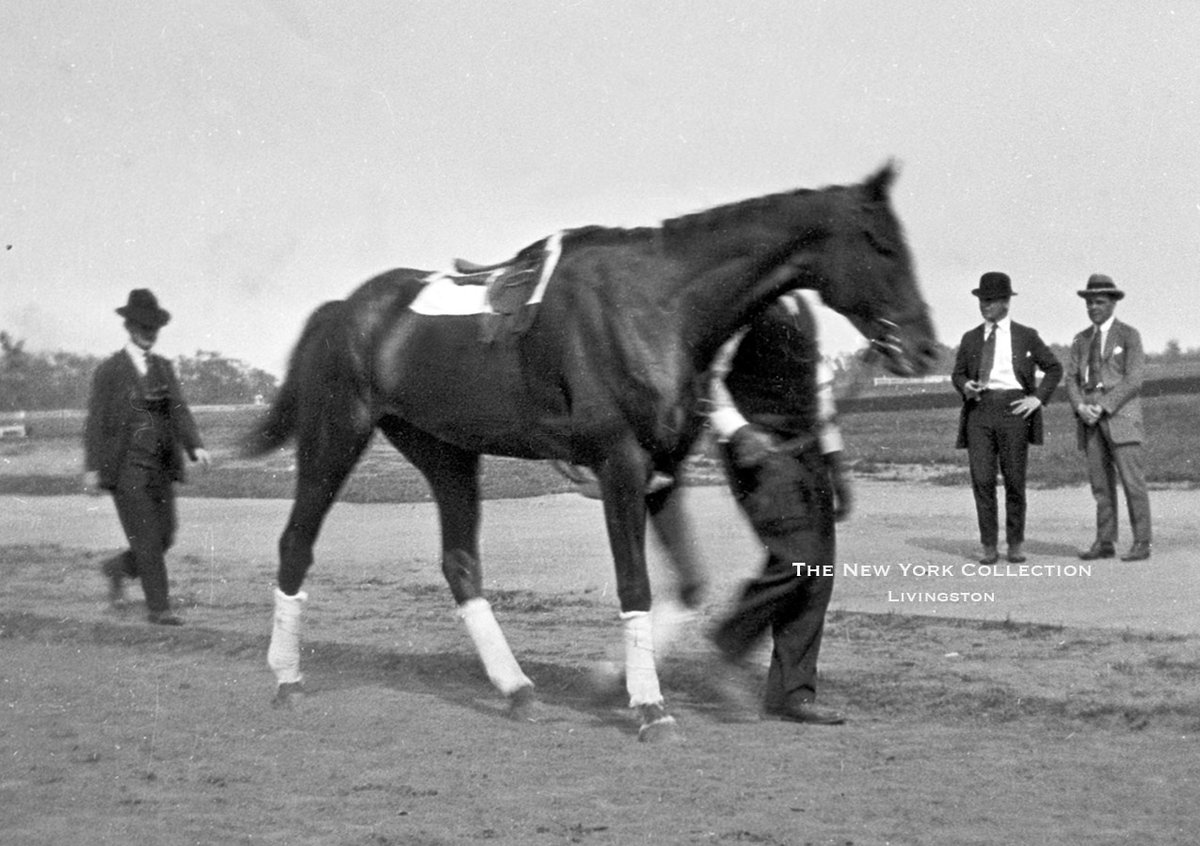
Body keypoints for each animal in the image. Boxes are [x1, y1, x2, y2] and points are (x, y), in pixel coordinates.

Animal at [243, 159, 936, 739]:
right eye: (882, 245)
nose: (927, 348)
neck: (657, 304)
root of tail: (344, 309)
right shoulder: (618, 466)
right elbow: (635, 585)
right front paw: (650, 707)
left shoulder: (662, 472)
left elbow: (689, 586)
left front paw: (616, 680)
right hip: (336, 435)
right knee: (296, 544)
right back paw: (286, 678)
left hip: (446, 452)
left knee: (461, 564)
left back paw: (517, 689)